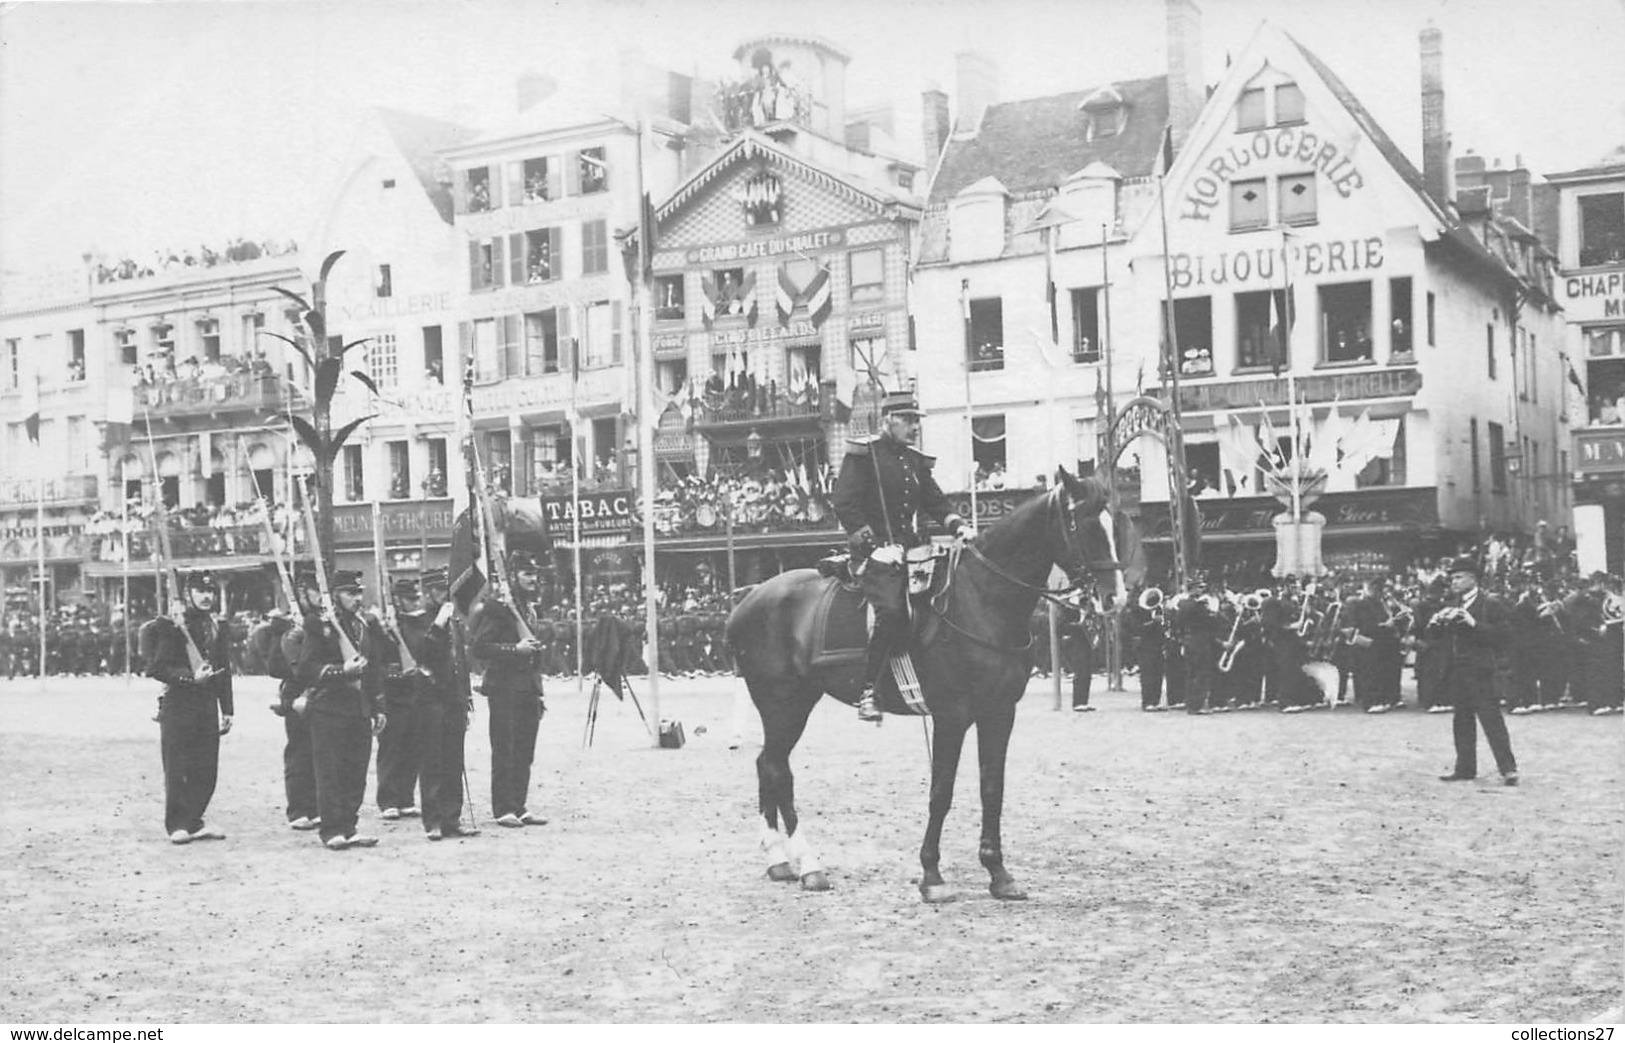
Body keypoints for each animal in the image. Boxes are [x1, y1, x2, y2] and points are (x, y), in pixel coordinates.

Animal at [728, 467, 1131, 896]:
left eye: (1114, 524)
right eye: (1084, 523)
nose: (1116, 599)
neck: (981, 599)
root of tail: (747, 600)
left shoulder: (999, 712)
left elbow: (992, 788)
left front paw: (998, 873)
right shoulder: (951, 716)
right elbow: (942, 791)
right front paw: (932, 874)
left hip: (797, 702)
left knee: (767, 764)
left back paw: (778, 860)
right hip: (783, 704)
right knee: (777, 769)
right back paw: (808, 864)